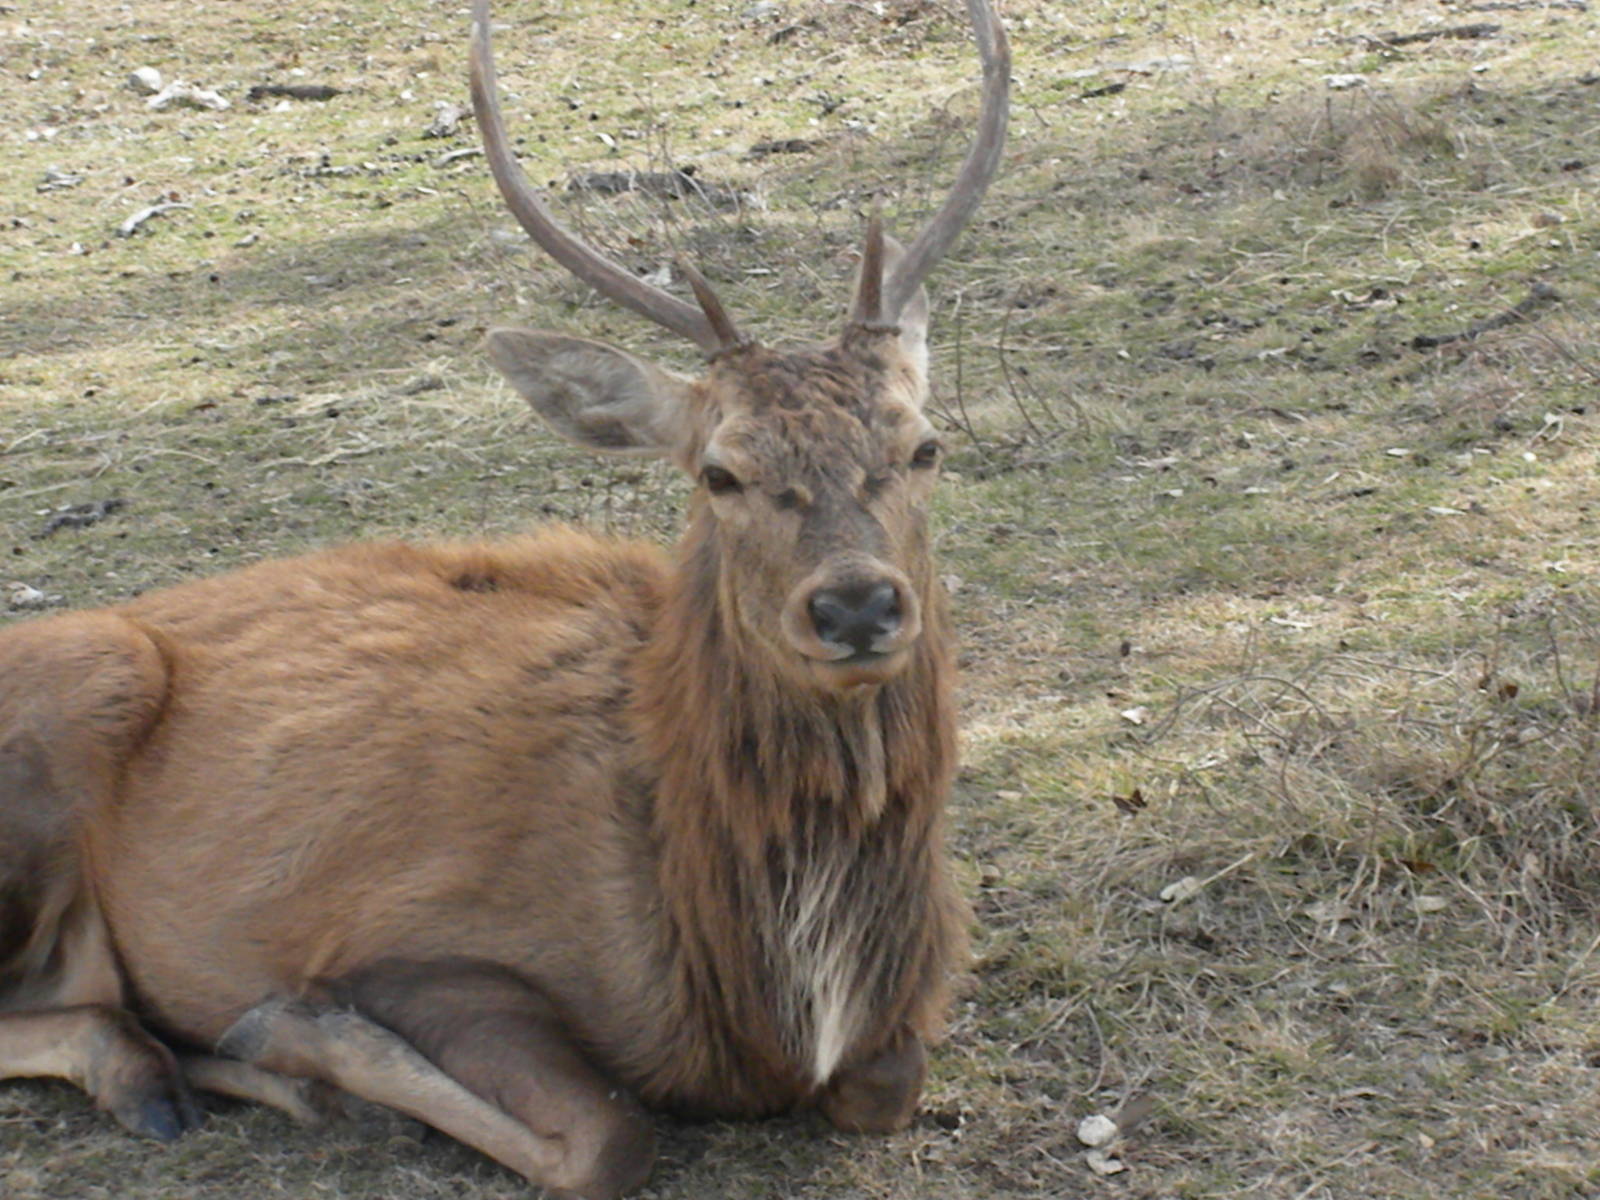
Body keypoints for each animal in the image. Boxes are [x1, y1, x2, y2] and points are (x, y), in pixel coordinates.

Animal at [0, 1, 1009, 1196]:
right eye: (719, 472)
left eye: (923, 445)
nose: (855, 606)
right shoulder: (418, 940)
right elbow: (607, 1138)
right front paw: (299, 1034)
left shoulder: (899, 1023)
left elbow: (885, 1088)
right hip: (77, 691)